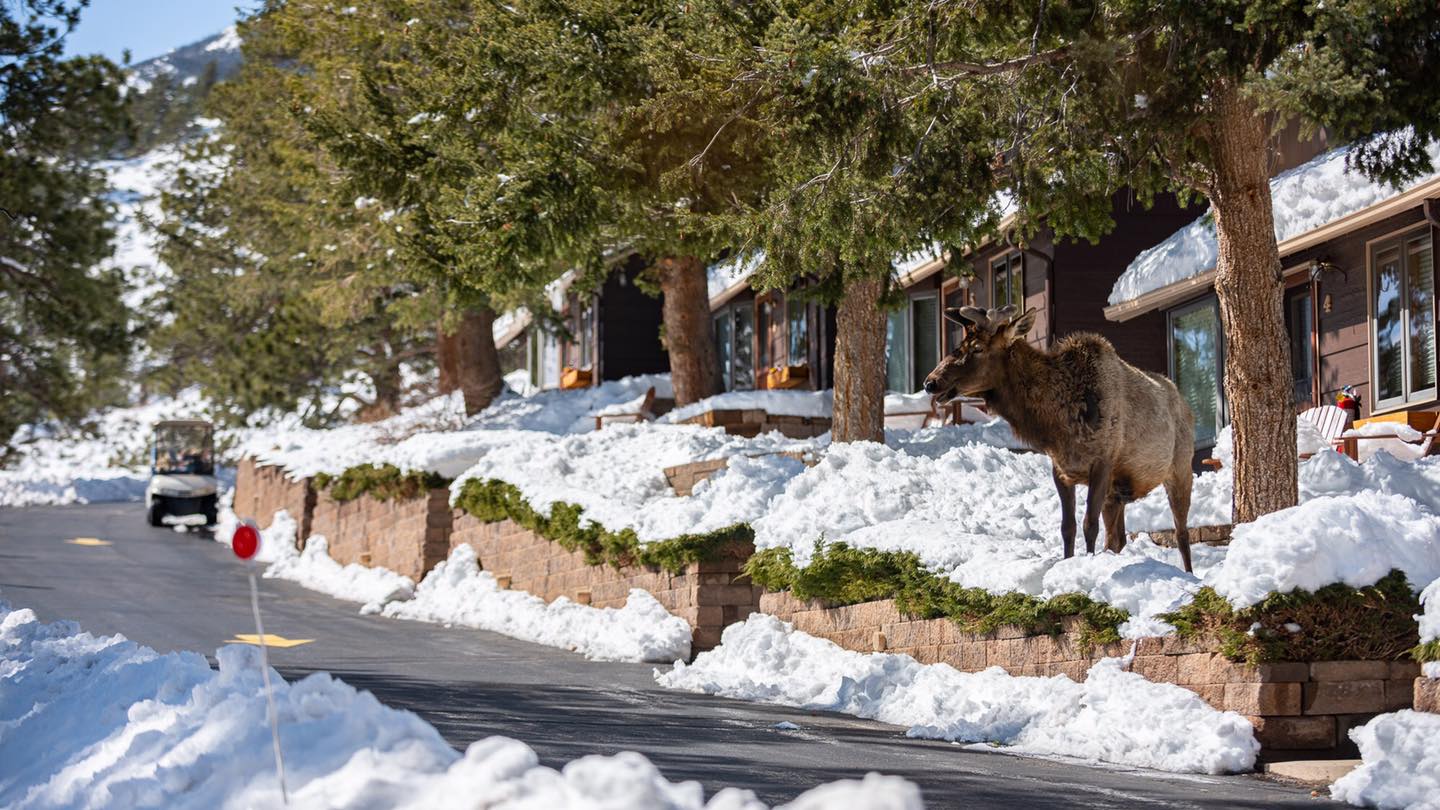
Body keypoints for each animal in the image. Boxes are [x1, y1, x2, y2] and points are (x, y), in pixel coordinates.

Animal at [927, 304, 1198, 573]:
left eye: (977, 348)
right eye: (961, 344)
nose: (931, 381)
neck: (1058, 424)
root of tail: (1185, 405)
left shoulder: (1103, 462)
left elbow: (1089, 525)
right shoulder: (1061, 470)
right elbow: (1067, 528)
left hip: (1180, 469)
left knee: (1181, 533)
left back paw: (1189, 572)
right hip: (1117, 493)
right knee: (1118, 538)